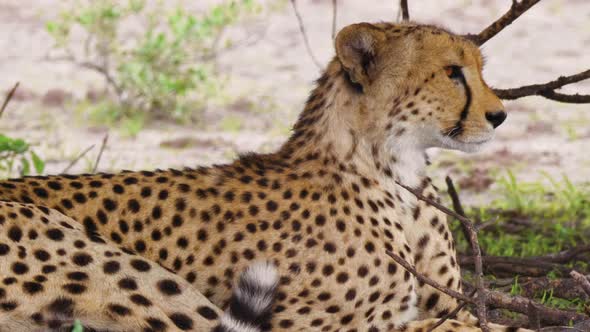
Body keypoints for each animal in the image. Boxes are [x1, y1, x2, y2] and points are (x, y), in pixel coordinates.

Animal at [0, 22, 528, 330]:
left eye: (478, 69)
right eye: (453, 72)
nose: (500, 115)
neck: (397, 172)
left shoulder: (451, 302)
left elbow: (475, 321)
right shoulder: (312, 326)